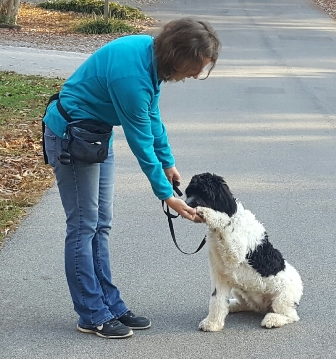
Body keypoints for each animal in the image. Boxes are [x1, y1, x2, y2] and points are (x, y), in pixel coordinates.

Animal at [185, 173, 304, 330]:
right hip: (239, 289)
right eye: (189, 192)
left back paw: (273, 319)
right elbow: (217, 300)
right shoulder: (220, 274)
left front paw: (208, 213)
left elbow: (223, 221)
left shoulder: (235, 251)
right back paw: (232, 305)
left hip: (282, 297)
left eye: (204, 193)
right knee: (246, 305)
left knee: (291, 315)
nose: (187, 203)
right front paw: (213, 323)